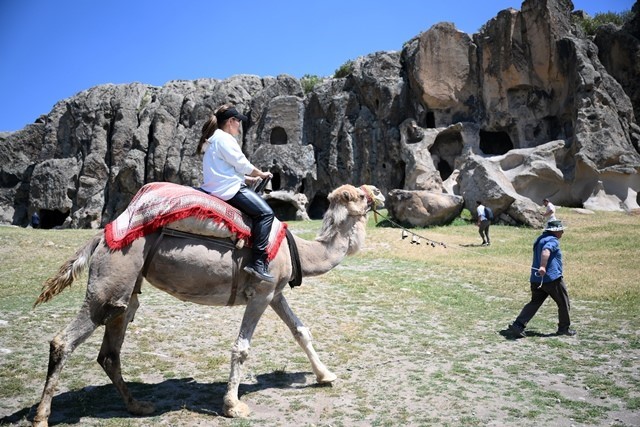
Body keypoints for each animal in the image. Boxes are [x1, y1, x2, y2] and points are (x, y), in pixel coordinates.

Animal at [31, 184, 384, 427]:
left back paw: (138, 406)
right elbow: (241, 348)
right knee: (63, 341)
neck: (298, 250)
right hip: (108, 285)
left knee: (109, 352)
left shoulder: (276, 293)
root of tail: (101, 237)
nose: (379, 193)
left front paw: (326, 376)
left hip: (125, 291)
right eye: (359, 195)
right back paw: (42, 417)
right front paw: (233, 406)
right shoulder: (261, 292)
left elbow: (301, 331)